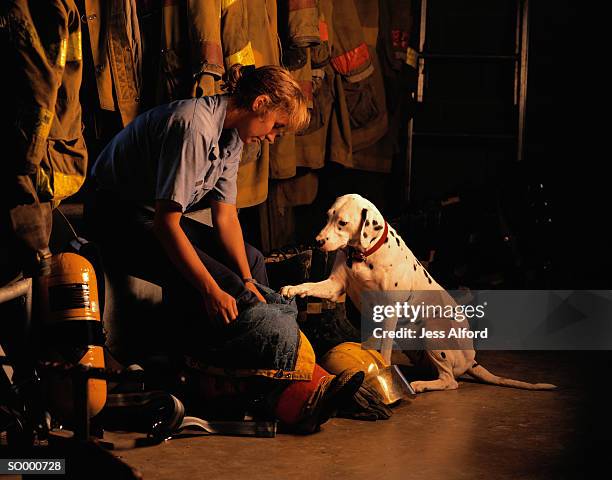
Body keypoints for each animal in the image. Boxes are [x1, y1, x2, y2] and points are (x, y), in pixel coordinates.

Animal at [280, 195, 556, 394]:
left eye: (343, 223)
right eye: (328, 217)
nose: (317, 241)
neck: (364, 255)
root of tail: (472, 361)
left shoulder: (389, 311)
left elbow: (384, 350)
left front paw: (384, 368)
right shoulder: (334, 287)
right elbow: (310, 285)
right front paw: (292, 288)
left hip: (433, 332)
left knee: (450, 381)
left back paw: (422, 385)